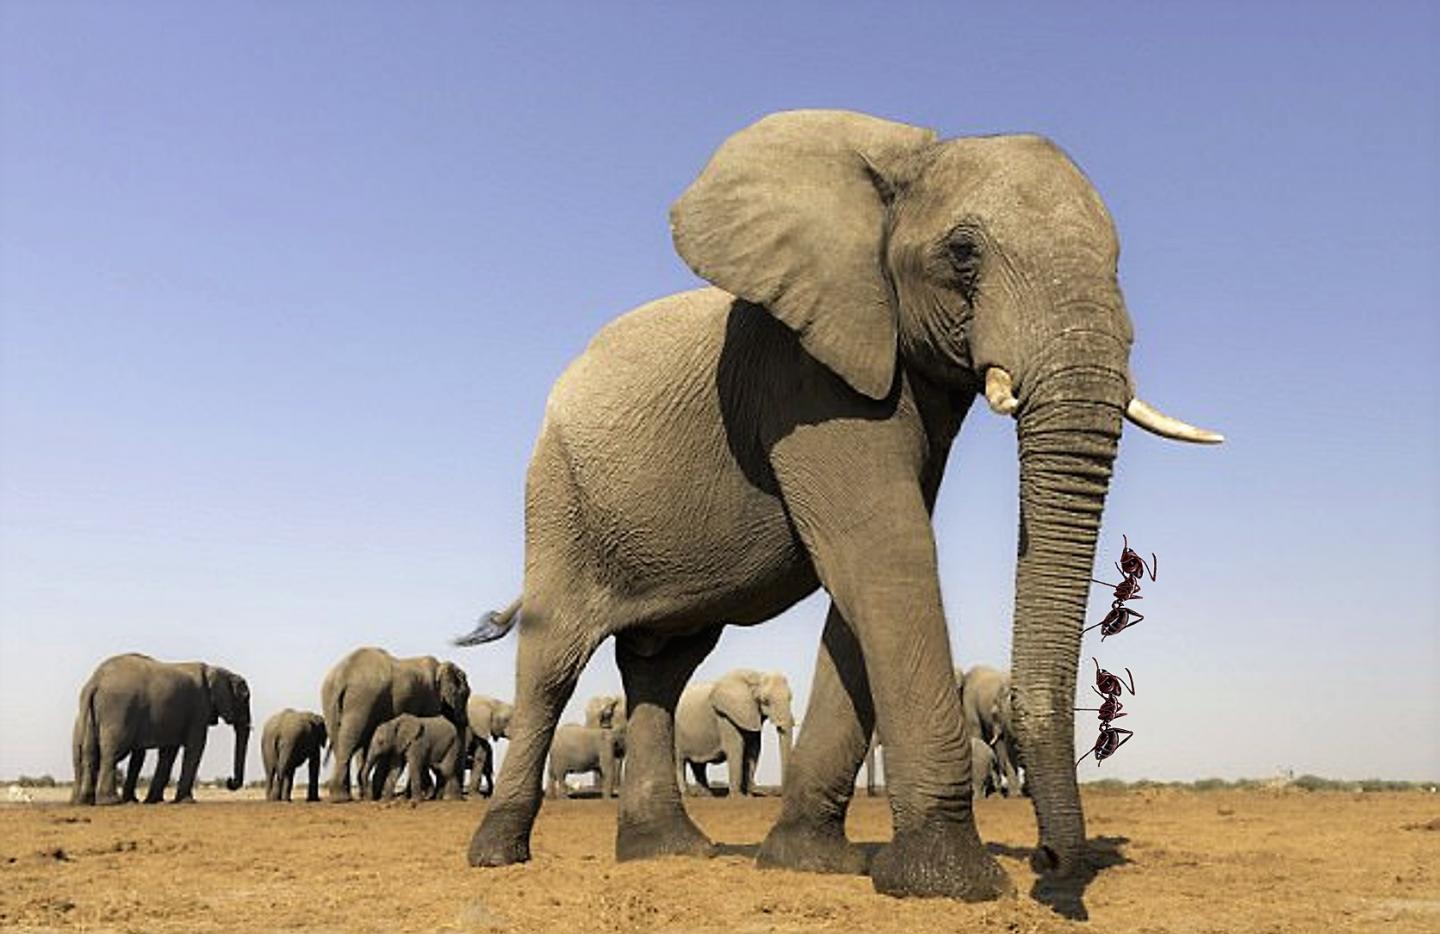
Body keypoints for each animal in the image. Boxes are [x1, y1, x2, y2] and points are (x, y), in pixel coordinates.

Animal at [71, 653, 251, 805]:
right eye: (245, 698)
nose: (229, 781)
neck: (216, 670)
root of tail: (95, 682)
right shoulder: (199, 709)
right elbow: (196, 747)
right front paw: (186, 802)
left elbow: (168, 752)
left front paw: (154, 801)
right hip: (118, 710)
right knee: (112, 753)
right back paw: (111, 802)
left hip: (92, 713)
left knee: (89, 754)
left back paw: (84, 802)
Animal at [320, 647, 470, 802]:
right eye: (465, 694)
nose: (463, 720)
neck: (441, 665)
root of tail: (342, 677)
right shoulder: (431, 697)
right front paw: (420, 795)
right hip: (360, 699)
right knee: (349, 742)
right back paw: (341, 798)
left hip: (330, 699)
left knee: (340, 741)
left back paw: (347, 796)